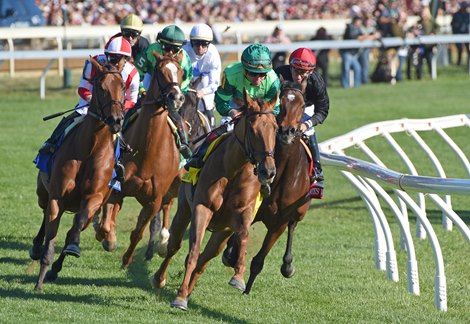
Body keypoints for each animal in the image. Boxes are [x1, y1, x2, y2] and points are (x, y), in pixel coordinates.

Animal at [30, 57, 126, 288]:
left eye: (123, 87)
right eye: (101, 87)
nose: (116, 120)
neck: (90, 149)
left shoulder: (94, 198)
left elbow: (76, 226)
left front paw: (72, 246)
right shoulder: (57, 195)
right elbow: (51, 233)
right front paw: (39, 280)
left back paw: (57, 267)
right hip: (42, 192)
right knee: (44, 215)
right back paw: (36, 247)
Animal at [94, 51, 188, 268]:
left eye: (181, 72)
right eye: (160, 71)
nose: (177, 97)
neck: (148, 151)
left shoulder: (154, 198)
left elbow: (138, 233)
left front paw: (127, 259)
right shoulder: (118, 189)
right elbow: (107, 223)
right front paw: (108, 238)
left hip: (174, 185)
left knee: (168, 206)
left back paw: (163, 242)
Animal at [151, 89, 280, 312]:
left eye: (275, 128)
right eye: (252, 129)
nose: (268, 171)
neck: (234, 169)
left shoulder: (242, 213)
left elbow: (243, 236)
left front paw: (238, 276)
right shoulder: (202, 207)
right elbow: (192, 252)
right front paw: (179, 298)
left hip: (222, 233)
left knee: (205, 259)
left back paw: (188, 290)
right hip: (184, 210)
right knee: (175, 246)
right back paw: (163, 281)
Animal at [225, 79, 312, 294]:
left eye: (303, 105)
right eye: (281, 103)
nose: (287, 131)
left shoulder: (279, 222)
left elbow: (259, 261)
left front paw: (247, 289)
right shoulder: (251, 208)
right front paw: (231, 254)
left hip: (300, 211)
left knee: (293, 226)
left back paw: (288, 266)